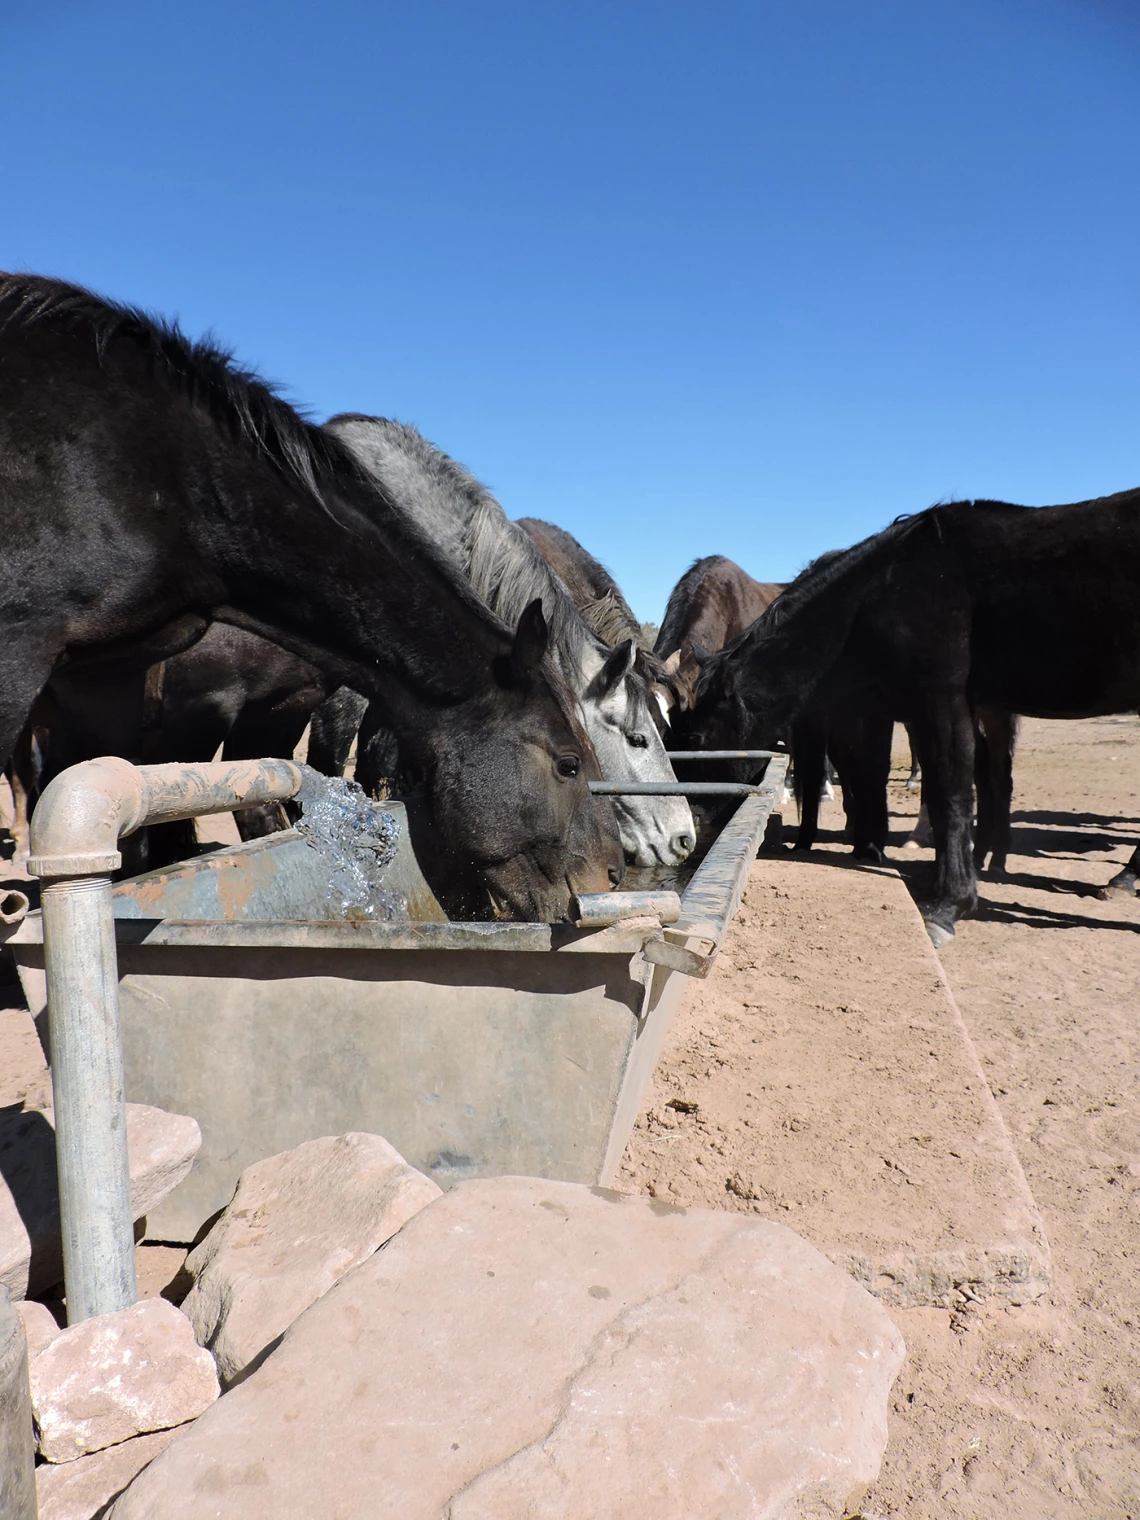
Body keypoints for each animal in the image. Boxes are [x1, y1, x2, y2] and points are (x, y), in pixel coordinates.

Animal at [693, 498, 1140, 942]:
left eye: (697, 737)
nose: (695, 825)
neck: (881, 590)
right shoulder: (913, 713)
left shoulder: (938, 703)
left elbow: (948, 796)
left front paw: (948, 903)